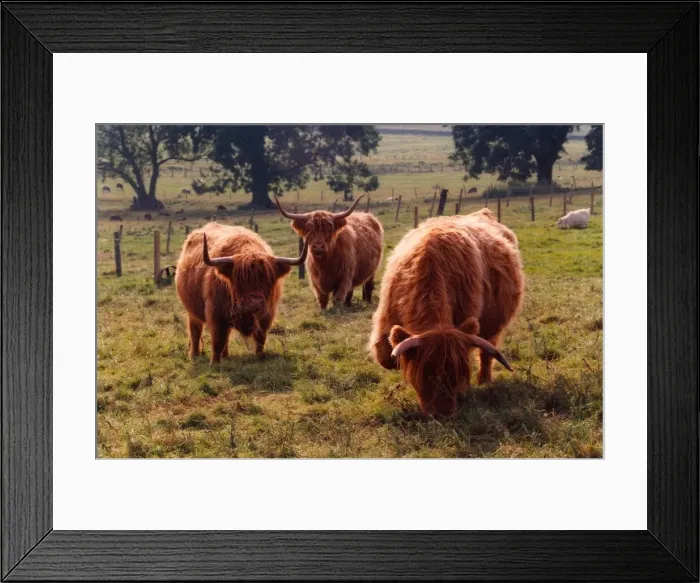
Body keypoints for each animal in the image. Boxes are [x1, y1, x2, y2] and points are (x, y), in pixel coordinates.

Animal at [175, 223, 307, 363]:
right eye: (240, 279)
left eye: (269, 279)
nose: (256, 301)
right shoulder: (216, 316)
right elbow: (217, 341)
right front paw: (214, 363)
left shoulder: (266, 316)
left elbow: (260, 339)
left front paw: (259, 357)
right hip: (192, 311)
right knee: (195, 331)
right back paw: (194, 355)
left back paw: (225, 355)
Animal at [368, 208, 524, 417]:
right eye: (428, 372)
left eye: (459, 373)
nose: (443, 413)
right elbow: (387, 358)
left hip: (493, 325)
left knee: (487, 351)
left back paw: (484, 381)